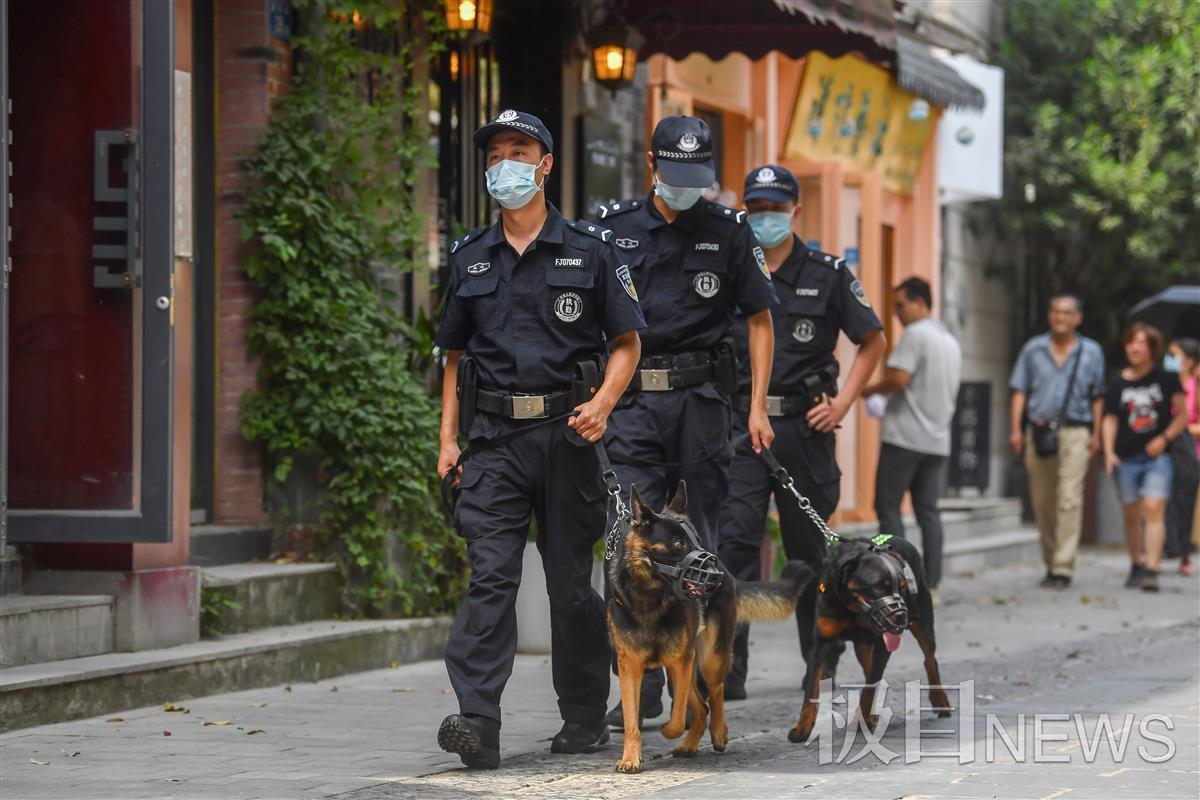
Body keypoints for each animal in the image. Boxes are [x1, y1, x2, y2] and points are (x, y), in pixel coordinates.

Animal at [607, 480, 813, 774]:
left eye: (698, 541)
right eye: (678, 543)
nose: (714, 576)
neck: (650, 598)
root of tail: (727, 571)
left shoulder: (680, 661)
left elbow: (678, 717)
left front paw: (669, 731)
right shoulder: (630, 668)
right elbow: (631, 720)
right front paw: (630, 758)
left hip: (708, 659)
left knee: (714, 694)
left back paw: (719, 731)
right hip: (685, 666)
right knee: (701, 707)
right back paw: (690, 745)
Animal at [789, 534, 952, 743]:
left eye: (902, 588)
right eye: (879, 586)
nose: (901, 615)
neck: (850, 607)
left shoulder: (883, 643)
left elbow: (869, 687)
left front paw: (861, 720)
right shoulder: (821, 643)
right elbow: (812, 686)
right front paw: (803, 727)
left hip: (922, 618)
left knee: (929, 658)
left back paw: (940, 699)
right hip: (863, 645)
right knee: (870, 668)